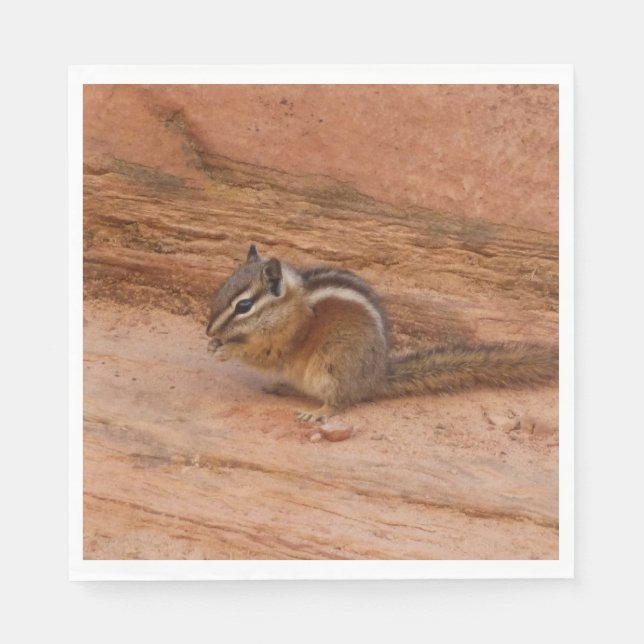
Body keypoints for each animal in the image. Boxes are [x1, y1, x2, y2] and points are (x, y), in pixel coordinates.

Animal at [206, 244, 558, 423]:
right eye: (222, 289)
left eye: (244, 306)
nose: (208, 329)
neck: (290, 305)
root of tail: (375, 378)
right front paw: (214, 343)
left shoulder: (289, 339)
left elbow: (265, 355)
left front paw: (227, 349)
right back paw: (282, 387)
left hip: (331, 366)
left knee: (340, 401)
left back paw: (317, 413)